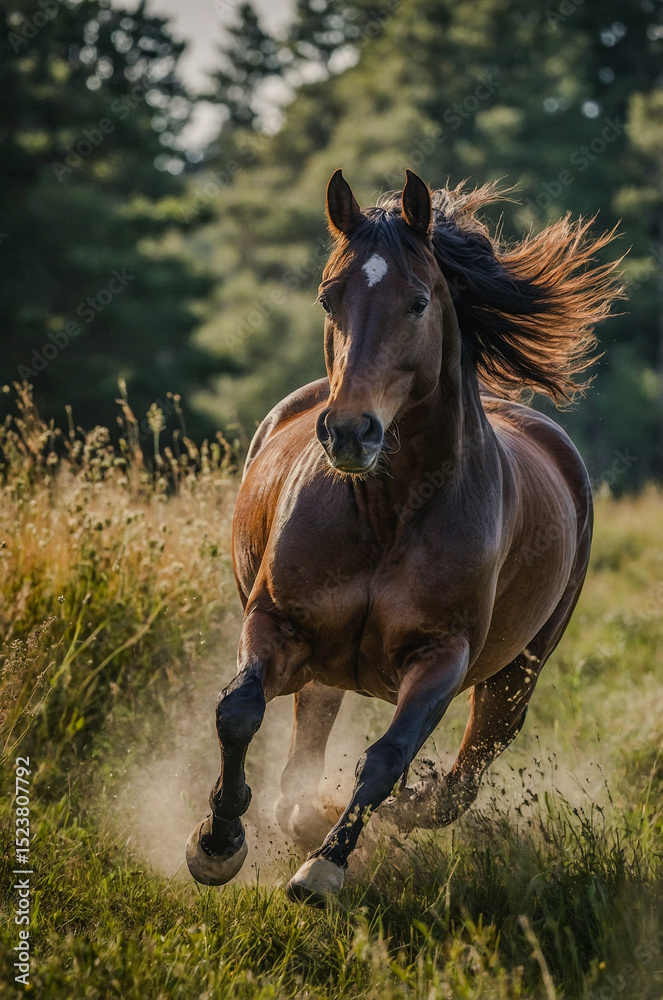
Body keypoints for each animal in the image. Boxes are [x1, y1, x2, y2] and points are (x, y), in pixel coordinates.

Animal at [186, 168, 622, 906]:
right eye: (329, 297)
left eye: (418, 301)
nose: (348, 432)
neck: (390, 511)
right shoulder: (277, 622)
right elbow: (238, 711)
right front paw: (216, 842)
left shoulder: (441, 656)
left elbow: (387, 757)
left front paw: (323, 868)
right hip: (325, 665)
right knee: (307, 747)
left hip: (516, 674)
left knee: (461, 780)